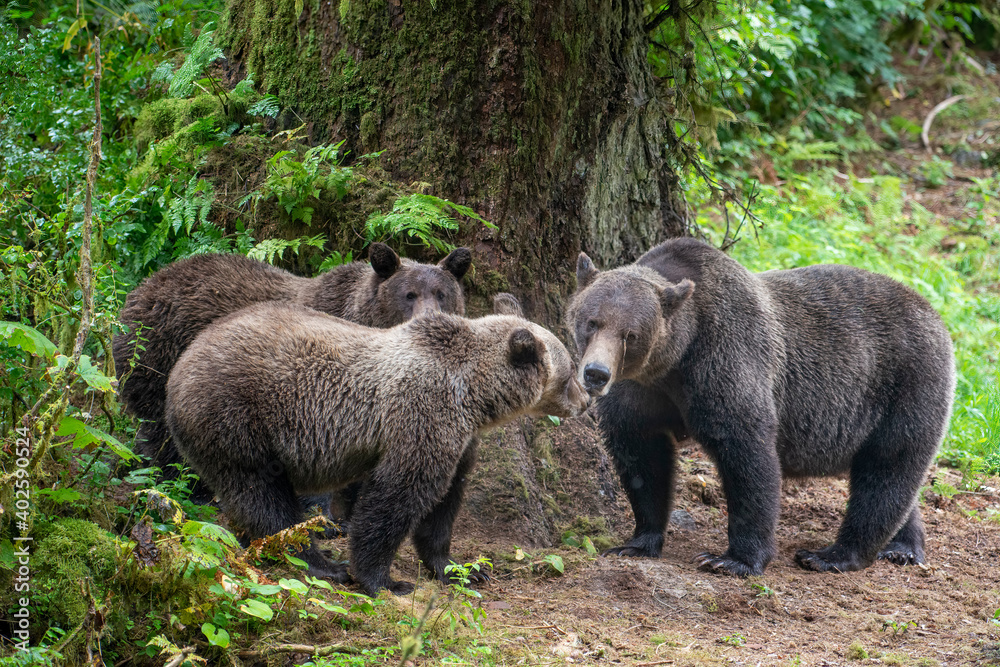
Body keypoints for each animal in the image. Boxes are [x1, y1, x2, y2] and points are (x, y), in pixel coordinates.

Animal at [112, 243, 471, 492]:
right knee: (161, 427)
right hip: (159, 353)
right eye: (409, 294)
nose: (430, 315)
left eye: (441, 293)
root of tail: (140, 288)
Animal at [164, 295, 589, 595]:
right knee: (263, 498)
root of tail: (179, 368)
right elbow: (396, 496)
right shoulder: (421, 414)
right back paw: (321, 563)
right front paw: (383, 579)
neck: (474, 396)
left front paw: (463, 569)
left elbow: (445, 503)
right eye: (571, 371)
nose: (587, 400)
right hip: (237, 416)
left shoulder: (459, 438)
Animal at [567, 237, 954, 576]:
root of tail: (934, 314)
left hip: (906, 386)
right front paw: (636, 542)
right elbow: (642, 458)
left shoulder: (725, 362)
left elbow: (747, 456)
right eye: (592, 322)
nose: (596, 373)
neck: (673, 361)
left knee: (888, 469)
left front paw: (732, 559)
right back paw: (903, 546)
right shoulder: (640, 392)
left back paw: (832, 554)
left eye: (630, 335)